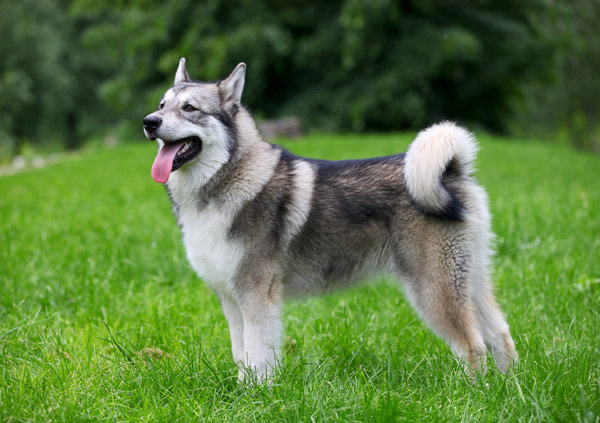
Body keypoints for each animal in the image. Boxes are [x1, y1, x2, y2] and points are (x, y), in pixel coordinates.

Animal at [142, 58, 516, 382]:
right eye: (161, 105)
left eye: (190, 108)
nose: (149, 122)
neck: (228, 178)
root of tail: (452, 171)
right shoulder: (232, 300)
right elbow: (241, 356)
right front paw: (242, 393)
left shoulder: (257, 296)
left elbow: (259, 358)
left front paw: (257, 397)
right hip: (469, 280)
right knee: (500, 335)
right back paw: (507, 389)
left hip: (433, 289)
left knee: (473, 346)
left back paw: (471, 393)